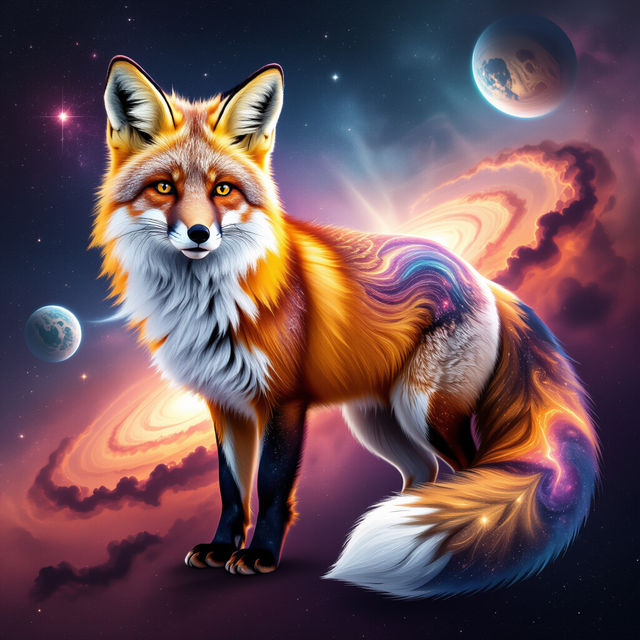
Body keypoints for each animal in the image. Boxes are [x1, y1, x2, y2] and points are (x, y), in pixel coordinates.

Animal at [91, 56, 599, 597]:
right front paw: (222, 547)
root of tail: (481, 277)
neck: (209, 305)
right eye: (164, 186)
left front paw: (260, 555)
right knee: (425, 473)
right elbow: (231, 488)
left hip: (426, 412)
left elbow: (270, 485)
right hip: (378, 422)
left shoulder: (283, 401)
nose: (199, 233)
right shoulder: (224, 403)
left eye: (222, 189)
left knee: (467, 474)